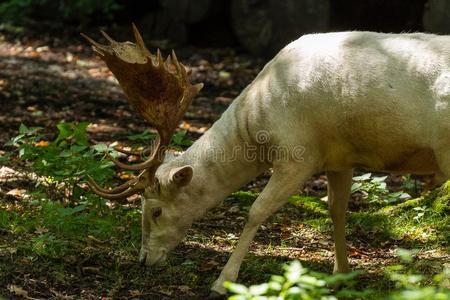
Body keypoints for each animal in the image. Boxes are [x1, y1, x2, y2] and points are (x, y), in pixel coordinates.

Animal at [82, 28, 448, 296]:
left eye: (156, 210)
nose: (144, 260)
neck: (257, 122)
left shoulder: (299, 154)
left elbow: (256, 210)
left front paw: (222, 283)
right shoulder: (338, 157)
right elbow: (336, 209)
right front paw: (340, 275)